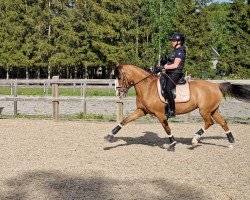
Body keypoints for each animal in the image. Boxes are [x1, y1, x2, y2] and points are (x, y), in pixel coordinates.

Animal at [104, 64, 250, 152]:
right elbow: (125, 121)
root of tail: (216, 85)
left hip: (205, 111)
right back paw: (230, 142)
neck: (147, 87)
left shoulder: (160, 114)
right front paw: (110, 136)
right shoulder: (141, 111)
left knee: (210, 122)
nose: (119, 93)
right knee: (223, 122)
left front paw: (172, 144)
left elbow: (167, 128)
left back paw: (194, 140)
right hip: (213, 110)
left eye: (120, 77)